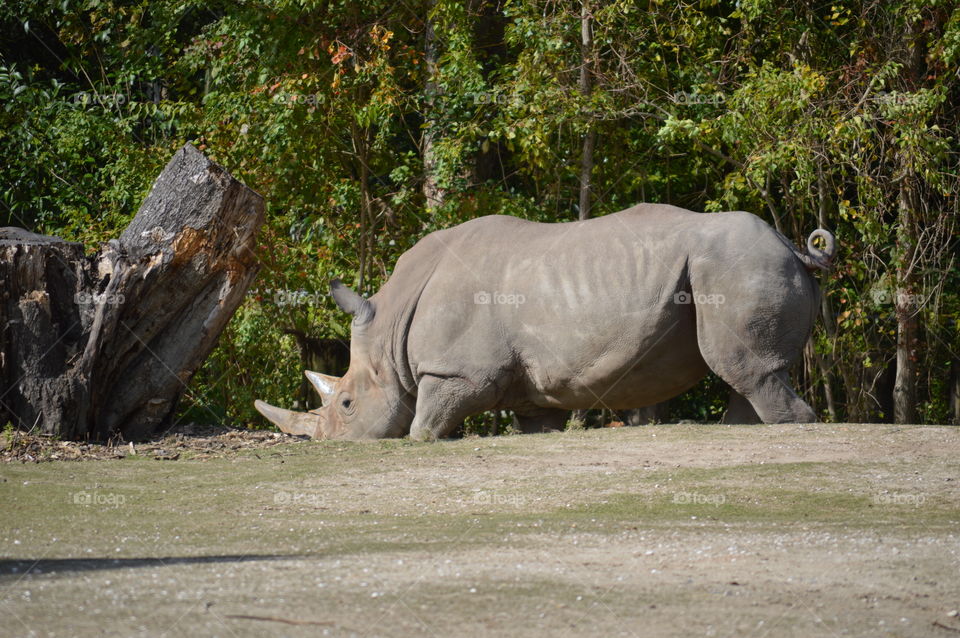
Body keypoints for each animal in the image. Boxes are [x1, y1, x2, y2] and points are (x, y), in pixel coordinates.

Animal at [255, 204, 836, 440]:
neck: (391, 326)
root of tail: (793, 245)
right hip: (745, 262)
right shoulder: (528, 387)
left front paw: (418, 438)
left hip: (740, 263)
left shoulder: (457, 372)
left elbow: (424, 425)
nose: (327, 444)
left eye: (348, 405)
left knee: (743, 366)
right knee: (745, 372)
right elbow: (536, 420)